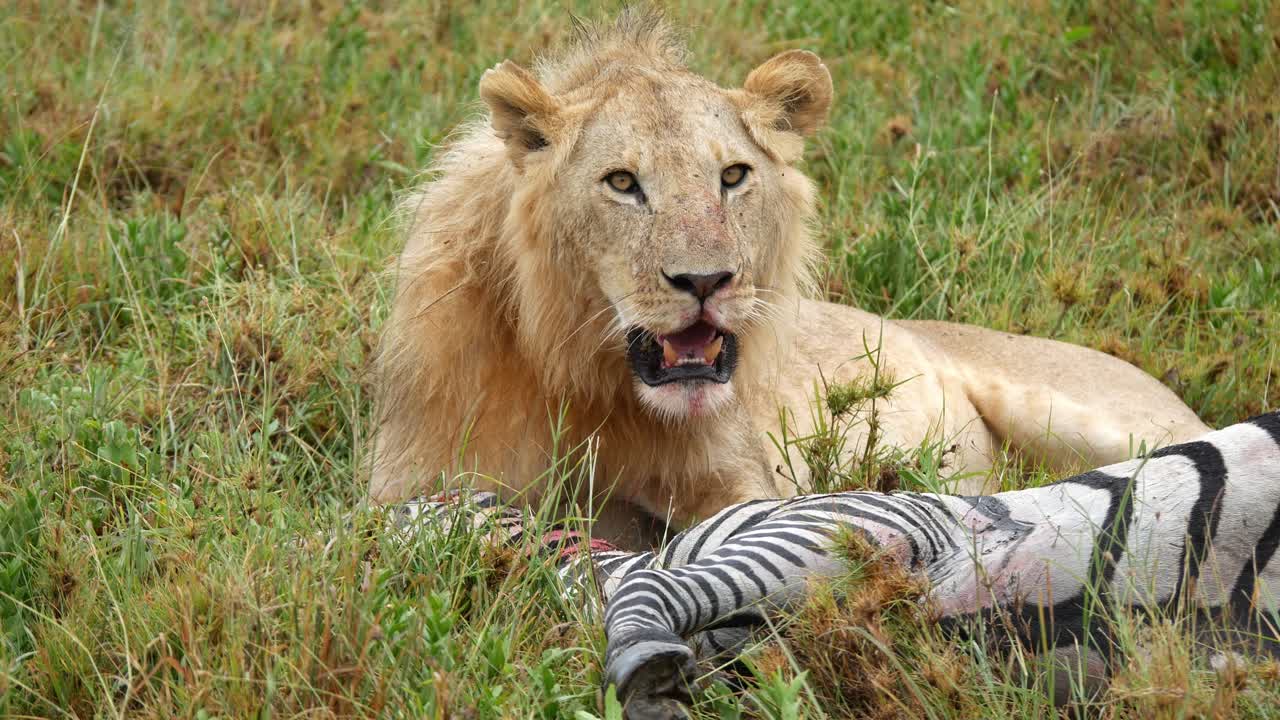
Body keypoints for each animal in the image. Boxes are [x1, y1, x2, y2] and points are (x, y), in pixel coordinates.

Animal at [370, 11, 1207, 544]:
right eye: (622, 183)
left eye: (733, 176)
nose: (706, 280)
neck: (586, 377)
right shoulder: (410, 484)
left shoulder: (744, 484)